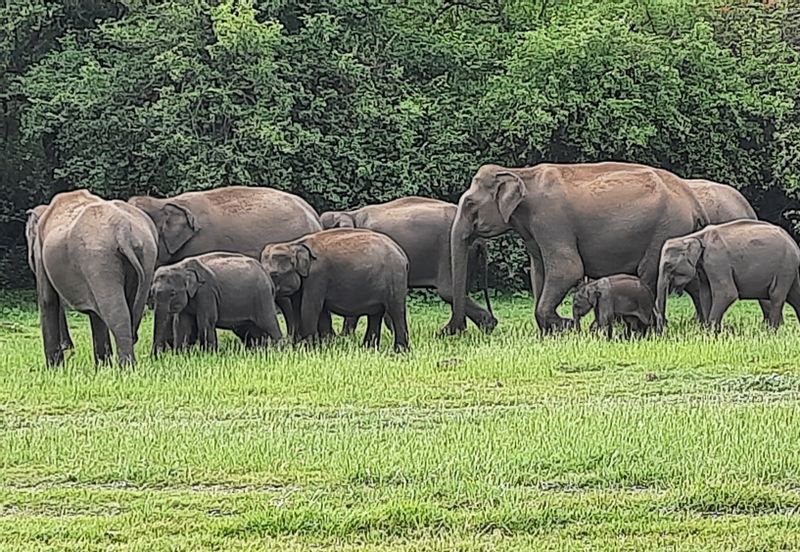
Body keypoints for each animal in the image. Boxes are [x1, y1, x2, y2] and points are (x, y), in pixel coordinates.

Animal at [150, 251, 284, 352]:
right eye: (152, 293)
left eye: (172, 293)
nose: (155, 357)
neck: (181, 266)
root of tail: (268, 277)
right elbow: (181, 324)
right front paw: (180, 355)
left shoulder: (207, 292)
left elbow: (206, 322)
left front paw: (208, 354)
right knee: (251, 330)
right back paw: (258, 352)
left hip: (262, 297)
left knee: (269, 323)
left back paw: (280, 352)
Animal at [262, 230, 412, 354]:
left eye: (275, 275)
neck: (293, 244)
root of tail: (402, 254)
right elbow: (304, 310)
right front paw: (316, 346)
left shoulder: (317, 277)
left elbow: (309, 308)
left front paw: (307, 349)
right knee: (376, 314)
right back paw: (368, 349)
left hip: (395, 279)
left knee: (396, 312)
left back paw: (400, 351)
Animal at [318, 198, 494, 336]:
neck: (349, 214)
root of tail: (480, 239)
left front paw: (345, 336)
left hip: (448, 254)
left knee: (448, 292)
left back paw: (484, 327)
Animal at [450, 162, 708, 334]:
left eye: (470, 203)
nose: (455, 329)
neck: (522, 173)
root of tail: (694, 201)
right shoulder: (534, 232)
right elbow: (538, 273)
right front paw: (550, 333)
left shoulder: (551, 220)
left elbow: (567, 270)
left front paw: (564, 326)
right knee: (693, 282)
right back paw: (700, 325)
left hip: (666, 229)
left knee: (649, 274)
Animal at [656, 220, 800, 332]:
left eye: (668, 266)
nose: (664, 328)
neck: (694, 236)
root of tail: (794, 244)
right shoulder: (704, 266)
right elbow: (705, 295)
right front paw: (708, 331)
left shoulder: (717, 260)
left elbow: (727, 293)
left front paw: (711, 333)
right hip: (790, 268)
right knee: (794, 296)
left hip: (785, 267)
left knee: (776, 295)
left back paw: (771, 332)